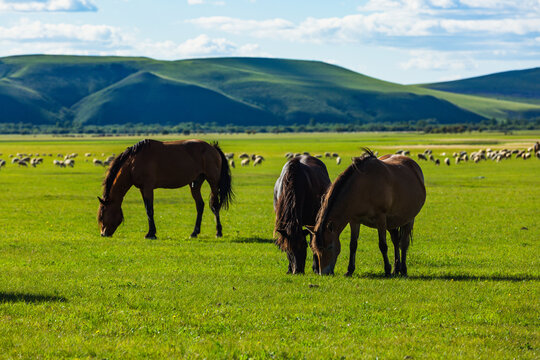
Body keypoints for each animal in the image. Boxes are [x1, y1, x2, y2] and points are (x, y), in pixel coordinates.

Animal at [98, 139, 233, 239]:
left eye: (102, 215)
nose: (103, 234)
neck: (133, 163)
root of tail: (212, 147)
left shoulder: (147, 188)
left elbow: (149, 210)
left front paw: (151, 234)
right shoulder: (142, 189)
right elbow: (148, 209)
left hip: (213, 182)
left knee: (215, 205)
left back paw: (218, 232)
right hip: (195, 183)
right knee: (200, 205)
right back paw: (194, 233)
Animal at [308, 148, 426, 276]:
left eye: (330, 247)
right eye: (314, 248)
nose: (323, 273)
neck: (364, 187)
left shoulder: (381, 218)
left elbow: (383, 245)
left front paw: (387, 269)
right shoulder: (354, 221)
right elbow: (353, 245)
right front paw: (350, 270)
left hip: (409, 219)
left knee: (404, 243)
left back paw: (403, 269)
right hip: (392, 222)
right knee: (396, 241)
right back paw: (396, 269)